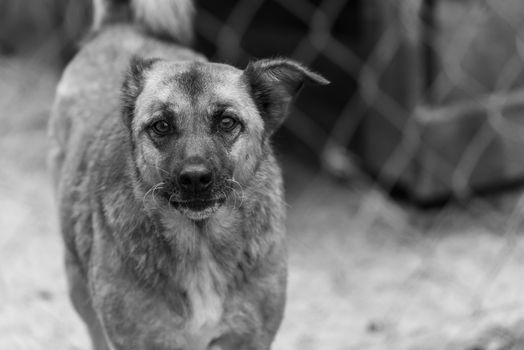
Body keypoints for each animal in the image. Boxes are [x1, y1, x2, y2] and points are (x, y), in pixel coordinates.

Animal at [49, 1, 328, 348]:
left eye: (227, 122)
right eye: (161, 125)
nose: (195, 178)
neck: (201, 245)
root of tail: (122, 25)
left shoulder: (249, 338)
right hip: (78, 285)